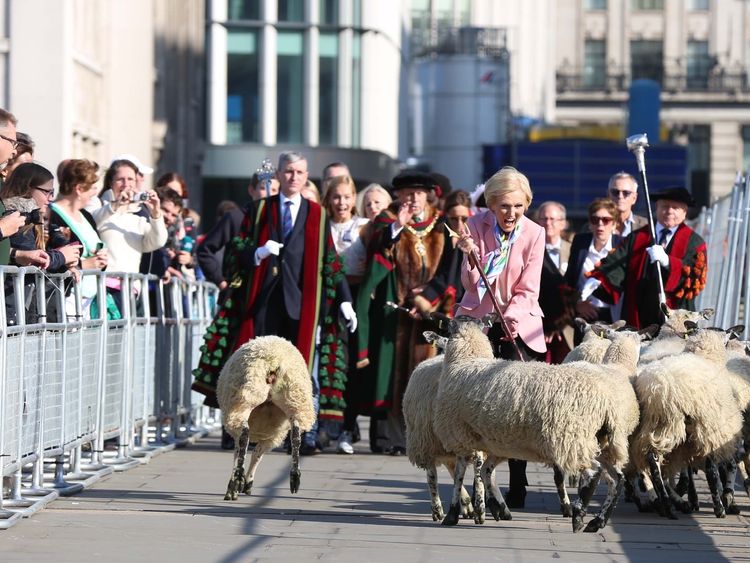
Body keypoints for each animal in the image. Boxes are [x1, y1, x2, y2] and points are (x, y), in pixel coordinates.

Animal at [216, 338, 316, 500]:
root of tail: (274, 362)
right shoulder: (273, 436)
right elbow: (257, 454)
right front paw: (246, 483)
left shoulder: (268, 436)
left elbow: (243, 453)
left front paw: (237, 488)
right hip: (296, 400)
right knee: (296, 436)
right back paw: (295, 477)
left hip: (245, 399)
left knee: (244, 436)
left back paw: (237, 480)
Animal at [434, 318, 640, 532]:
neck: (465, 360)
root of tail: (607, 403)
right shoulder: (494, 443)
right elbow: (485, 472)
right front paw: (495, 507)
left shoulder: (460, 436)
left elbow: (460, 475)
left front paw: (452, 514)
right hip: (602, 442)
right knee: (617, 479)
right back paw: (597, 521)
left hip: (572, 439)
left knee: (594, 472)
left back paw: (578, 516)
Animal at [632, 326, 744, 520]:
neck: (707, 357)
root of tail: (658, 386)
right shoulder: (711, 427)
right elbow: (715, 467)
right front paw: (721, 502)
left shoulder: (689, 442)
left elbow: (689, 470)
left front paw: (692, 498)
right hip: (683, 424)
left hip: (655, 424)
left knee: (651, 460)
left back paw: (666, 504)